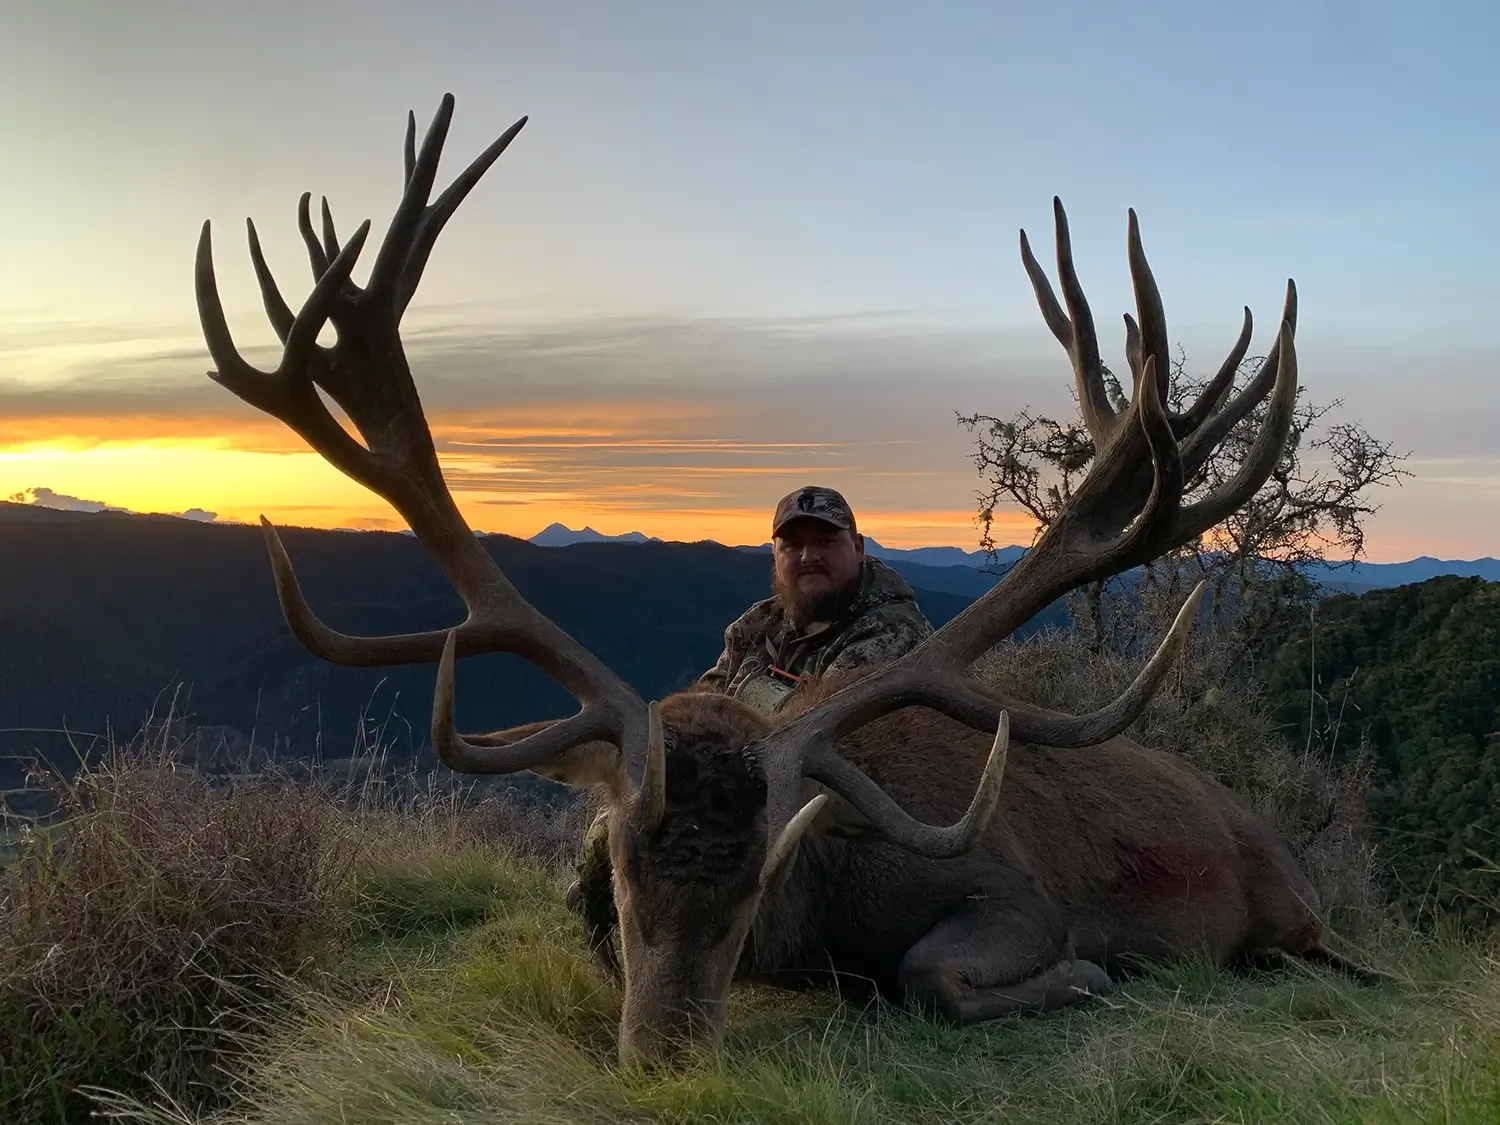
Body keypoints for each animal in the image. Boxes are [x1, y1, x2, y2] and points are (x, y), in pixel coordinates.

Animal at [195, 94, 1384, 1070]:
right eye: (618, 882)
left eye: (756, 888)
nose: (664, 1056)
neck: (827, 906)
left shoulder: (1016, 889)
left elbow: (931, 973)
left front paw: (1090, 973)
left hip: (1285, 907)